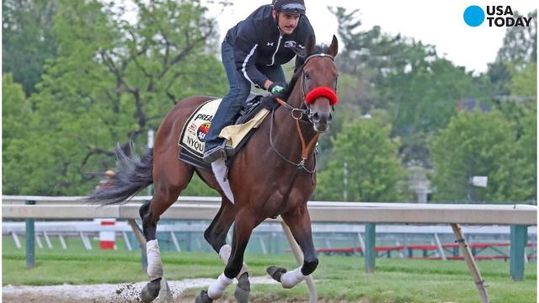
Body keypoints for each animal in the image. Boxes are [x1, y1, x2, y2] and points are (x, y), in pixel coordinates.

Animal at [89, 34, 342, 302]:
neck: (290, 151)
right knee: (149, 215)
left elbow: (311, 261)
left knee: (213, 233)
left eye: (335, 76)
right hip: (172, 183)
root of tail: (177, 108)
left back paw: (242, 278)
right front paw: (209, 293)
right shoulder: (248, 212)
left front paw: (278, 273)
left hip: (229, 198)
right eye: (308, 75)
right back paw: (154, 283)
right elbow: (233, 263)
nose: (321, 116)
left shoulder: (296, 209)